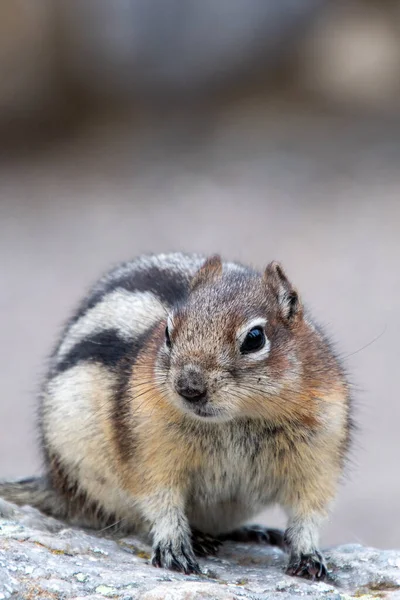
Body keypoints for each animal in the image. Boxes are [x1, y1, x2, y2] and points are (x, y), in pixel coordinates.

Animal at [0, 253, 350, 580]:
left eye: (254, 338)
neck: (236, 420)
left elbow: (309, 510)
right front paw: (174, 547)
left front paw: (307, 554)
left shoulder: (318, 456)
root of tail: (56, 485)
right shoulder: (150, 450)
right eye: (168, 332)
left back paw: (252, 531)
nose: (189, 387)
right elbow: (160, 500)